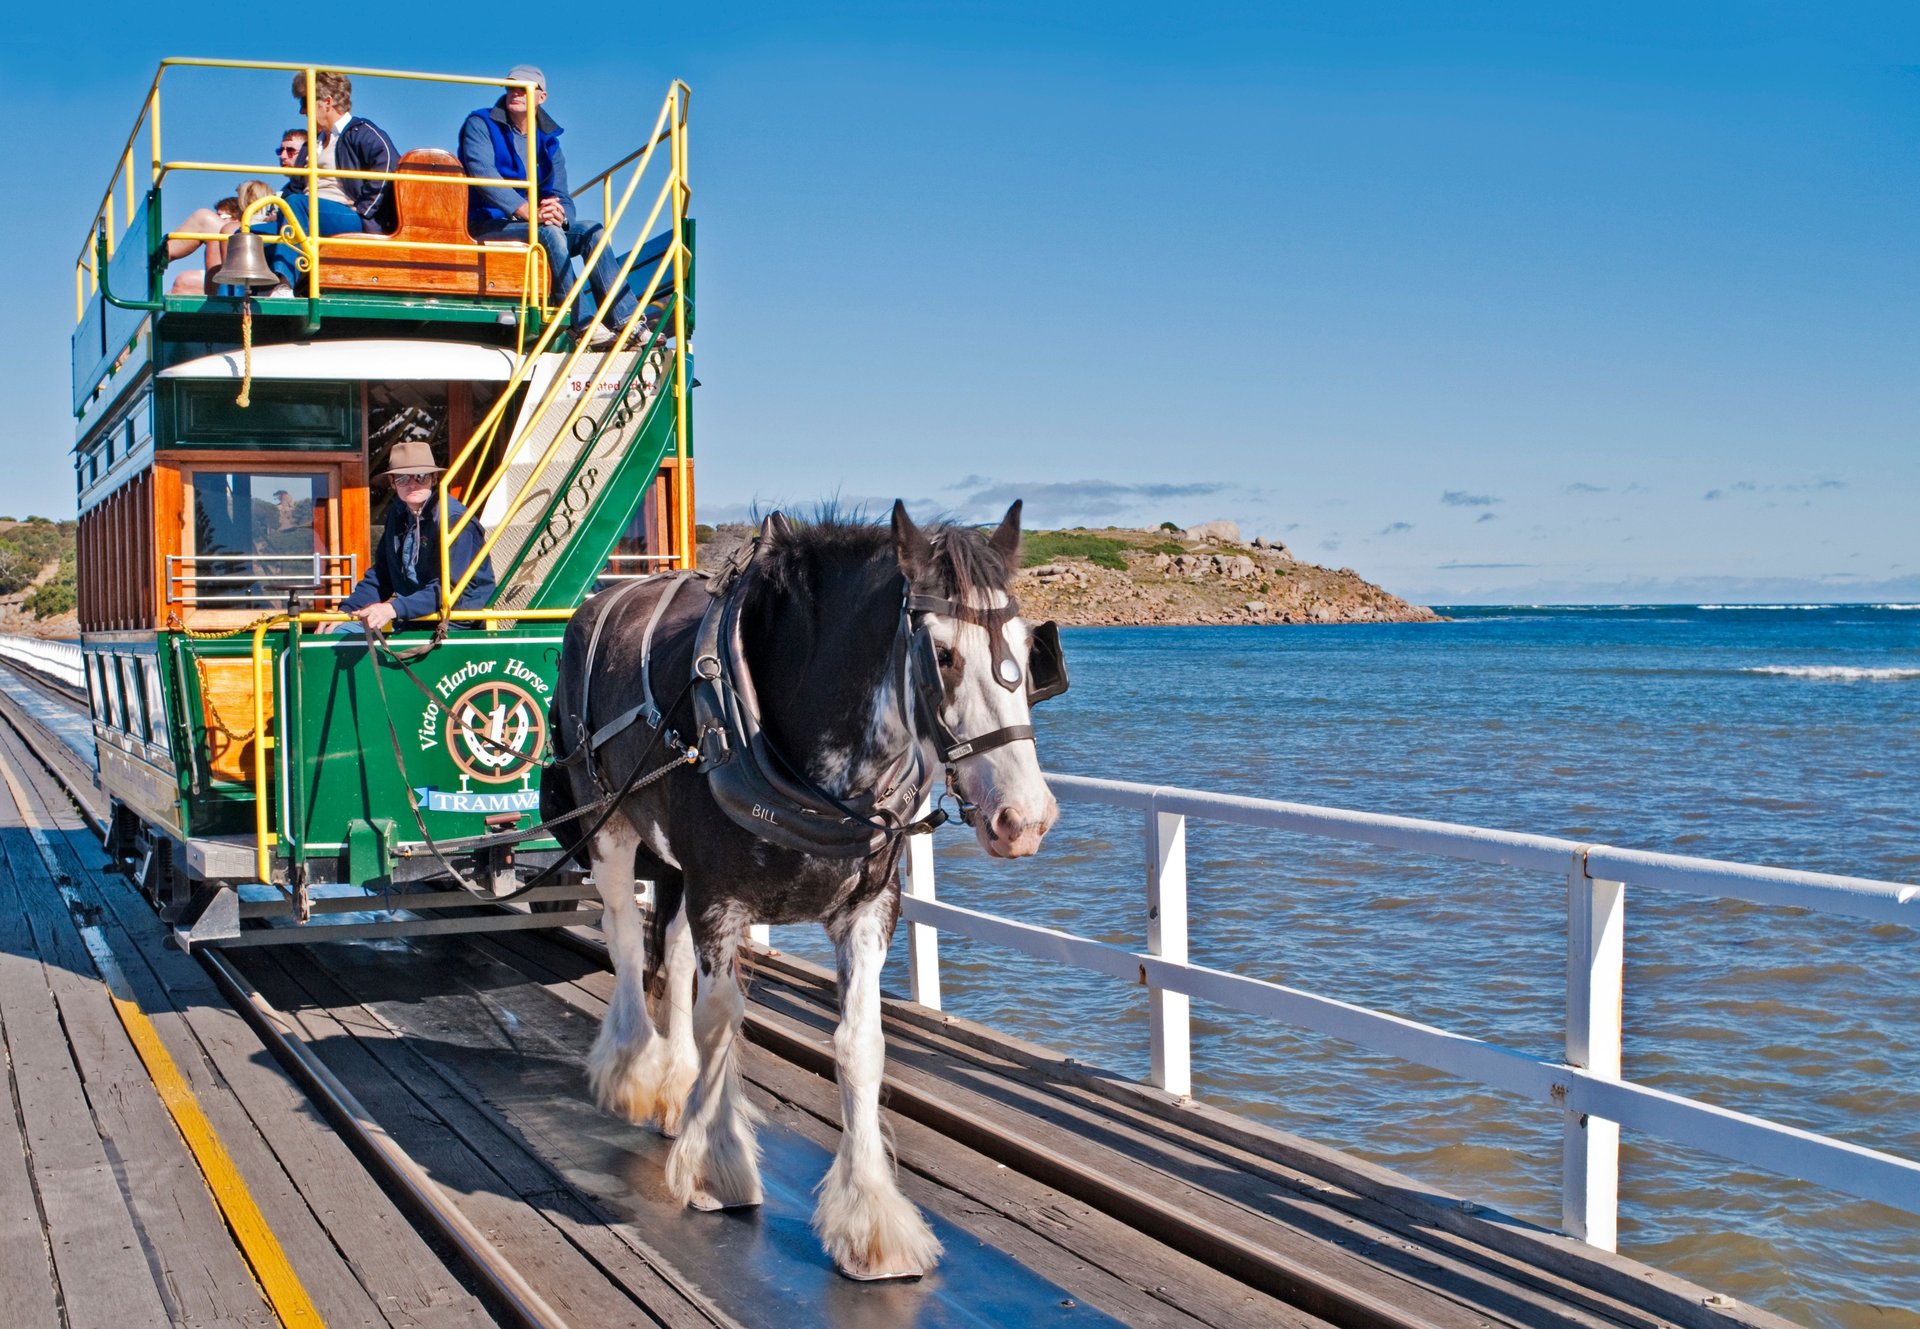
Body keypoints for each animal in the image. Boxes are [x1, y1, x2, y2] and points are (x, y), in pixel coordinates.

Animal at [542, 500, 1061, 1280]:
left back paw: (674, 1087)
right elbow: (722, 1018)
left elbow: (860, 1045)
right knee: (628, 941)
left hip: (675, 860)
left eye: (1030, 652)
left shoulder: (869, 910)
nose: (1023, 819)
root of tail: (602, 599)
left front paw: (871, 1219)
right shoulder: (720, 898)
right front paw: (717, 1165)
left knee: (670, 947)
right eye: (940, 654)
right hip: (608, 821)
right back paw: (633, 1069)